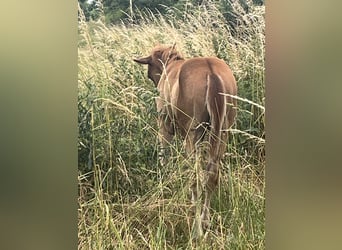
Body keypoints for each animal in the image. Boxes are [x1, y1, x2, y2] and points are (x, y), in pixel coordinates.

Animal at [133, 45, 235, 236]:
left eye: (149, 72)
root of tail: (211, 73)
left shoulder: (164, 125)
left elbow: (164, 154)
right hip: (223, 132)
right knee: (211, 175)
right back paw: (205, 221)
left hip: (192, 133)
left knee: (196, 177)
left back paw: (197, 228)